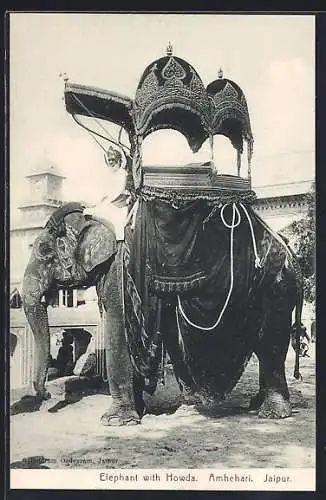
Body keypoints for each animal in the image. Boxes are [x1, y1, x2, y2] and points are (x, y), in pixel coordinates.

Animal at [22, 199, 304, 426]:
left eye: (46, 252)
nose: (47, 395)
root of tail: (291, 252)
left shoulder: (118, 274)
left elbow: (118, 331)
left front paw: (115, 422)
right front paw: (139, 411)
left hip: (275, 289)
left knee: (270, 345)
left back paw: (272, 414)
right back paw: (253, 404)